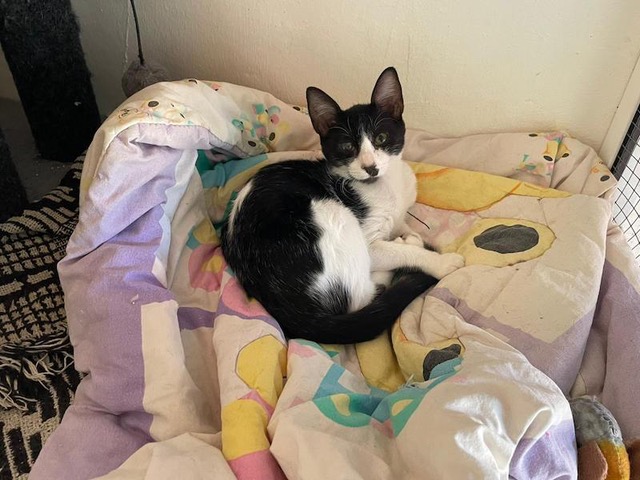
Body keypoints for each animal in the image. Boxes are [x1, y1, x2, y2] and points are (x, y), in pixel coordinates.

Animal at [221, 67, 464, 344]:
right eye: (348, 147)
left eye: (381, 138)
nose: (370, 167)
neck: (386, 185)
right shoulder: (369, 240)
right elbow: (399, 251)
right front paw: (438, 261)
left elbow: (403, 223)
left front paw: (411, 235)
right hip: (332, 214)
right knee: (362, 295)